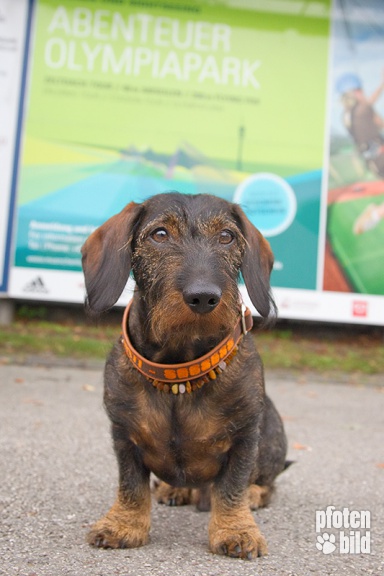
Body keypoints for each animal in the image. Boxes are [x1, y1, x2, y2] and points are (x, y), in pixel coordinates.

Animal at [82, 192, 288, 560]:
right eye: (160, 235)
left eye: (227, 236)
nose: (203, 296)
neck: (181, 370)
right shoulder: (123, 434)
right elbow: (131, 485)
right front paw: (123, 524)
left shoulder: (245, 437)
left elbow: (233, 485)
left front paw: (236, 529)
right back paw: (173, 489)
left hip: (273, 439)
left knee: (267, 484)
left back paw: (253, 494)